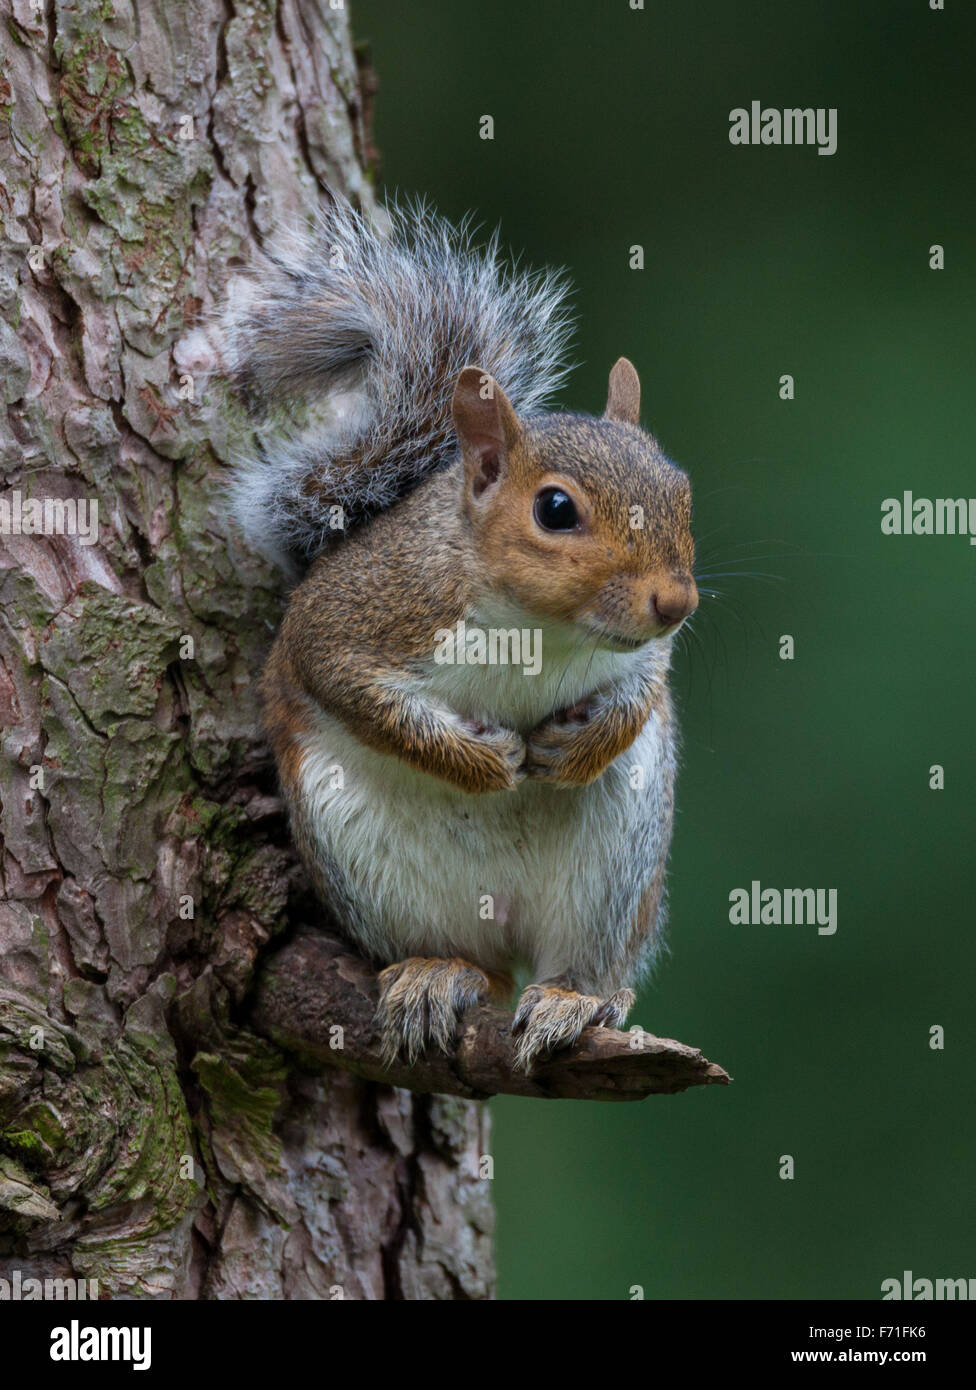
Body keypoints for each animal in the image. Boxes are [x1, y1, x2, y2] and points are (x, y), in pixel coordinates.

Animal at [223, 199, 698, 1071]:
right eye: (555, 509)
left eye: (682, 491)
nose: (676, 602)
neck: (539, 632)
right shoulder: (354, 618)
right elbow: (353, 689)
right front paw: (480, 762)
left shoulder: (643, 655)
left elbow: (642, 695)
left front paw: (574, 747)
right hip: (367, 863)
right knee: (474, 965)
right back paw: (437, 974)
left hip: (616, 872)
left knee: (576, 967)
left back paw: (576, 999)